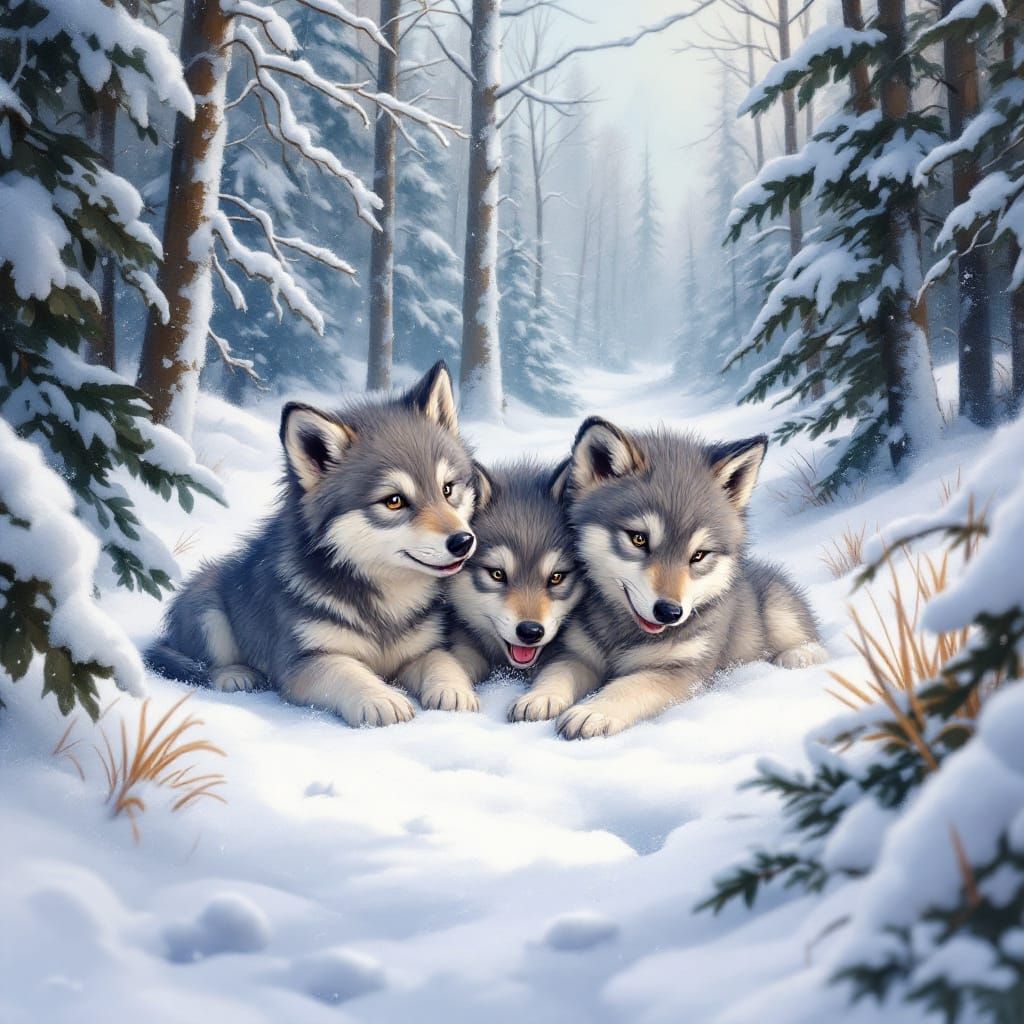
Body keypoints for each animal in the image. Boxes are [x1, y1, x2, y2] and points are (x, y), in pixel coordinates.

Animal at [145, 362, 482, 727]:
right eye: (394, 501)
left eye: (447, 489)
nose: (463, 541)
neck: (385, 606)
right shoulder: (302, 662)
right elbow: (347, 670)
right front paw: (381, 698)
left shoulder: (420, 650)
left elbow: (442, 661)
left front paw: (454, 690)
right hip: (207, 609)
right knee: (204, 663)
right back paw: (235, 674)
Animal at [509, 417, 828, 738]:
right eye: (639, 539)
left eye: (698, 555)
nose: (669, 612)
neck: (625, 635)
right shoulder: (577, 652)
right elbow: (557, 672)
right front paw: (540, 697)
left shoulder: (682, 671)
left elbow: (630, 685)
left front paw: (594, 711)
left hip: (777, 608)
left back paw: (801, 656)